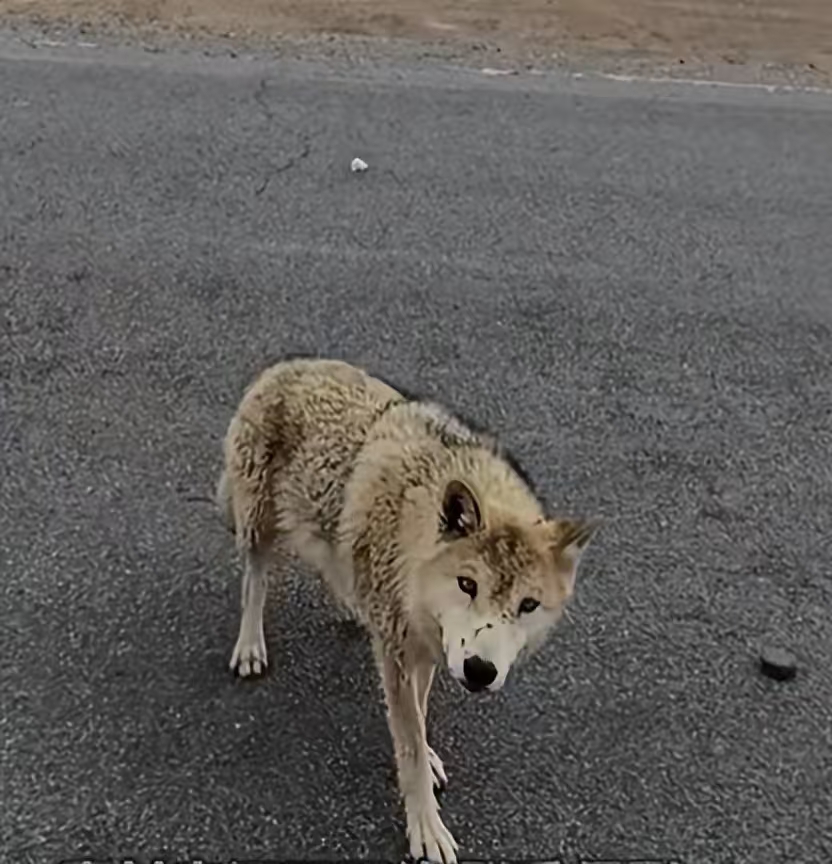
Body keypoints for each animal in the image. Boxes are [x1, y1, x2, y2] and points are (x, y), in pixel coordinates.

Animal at [214, 354, 600, 860]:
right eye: (468, 585)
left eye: (527, 604)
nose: (480, 672)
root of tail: (288, 365)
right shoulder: (400, 650)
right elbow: (409, 739)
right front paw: (425, 826)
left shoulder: (430, 645)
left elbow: (417, 714)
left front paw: (429, 755)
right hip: (260, 525)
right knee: (254, 580)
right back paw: (250, 645)